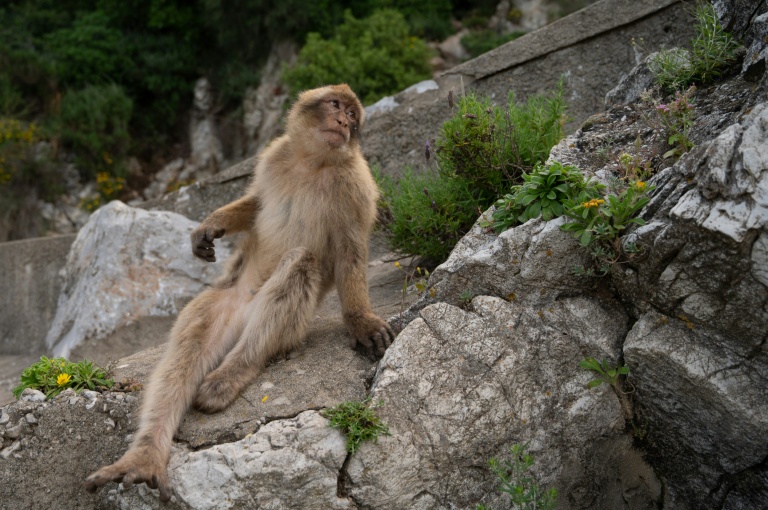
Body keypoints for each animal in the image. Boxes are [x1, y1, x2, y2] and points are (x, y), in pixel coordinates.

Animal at [84, 84, 395, 501]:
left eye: (353, 116)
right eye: (336, 105)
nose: (344, 122)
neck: (313, 163)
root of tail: (244, 309)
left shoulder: (356, 187)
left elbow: (350, 253)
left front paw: (361, 321)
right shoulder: (275, 156)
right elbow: (257, 202)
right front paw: (209, 226)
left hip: (281, 323)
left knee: (299, 268)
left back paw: (228, 377)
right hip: (219, 304)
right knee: (186, 349)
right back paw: (145, 455)